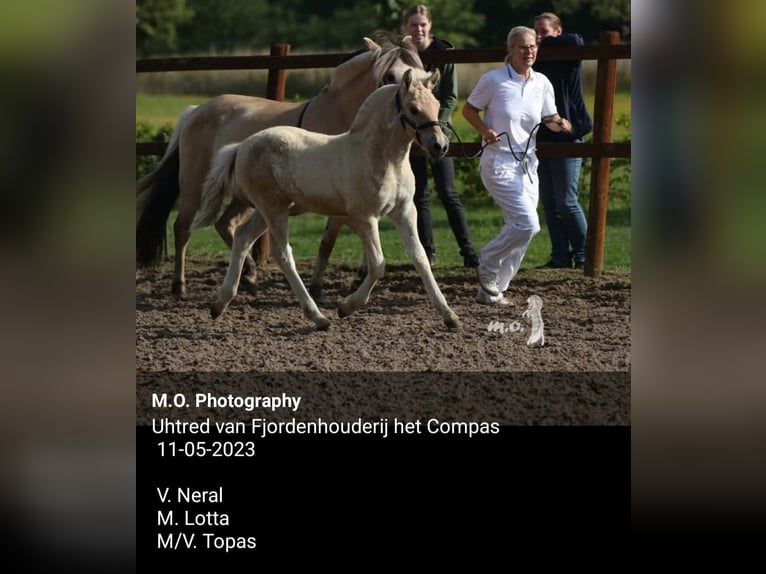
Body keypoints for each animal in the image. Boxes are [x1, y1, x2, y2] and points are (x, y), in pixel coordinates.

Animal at [136, 34, 425, 299]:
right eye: (390, 75)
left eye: (424, 76)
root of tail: (196, 111)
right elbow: (328, 241)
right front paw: (317, 287)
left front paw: (357, 280)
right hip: (193, 187)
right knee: (182, 228)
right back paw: (180, 285)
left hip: (246, 197)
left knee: (226, 225)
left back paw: (249, 275)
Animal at [194, 68, 460, 331]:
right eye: (414, 108)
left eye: (437, 105)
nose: (440, 146)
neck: (379, 157)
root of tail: (241, 146)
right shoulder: (365, 218)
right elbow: (377, 264)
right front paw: (346, 307)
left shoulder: (405, 212)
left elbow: (420, 258)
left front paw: (449, 315)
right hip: (274, 209)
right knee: (283, 254)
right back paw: (318, 317)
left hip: (266, 210)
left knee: (242, 238)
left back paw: (219, 304)